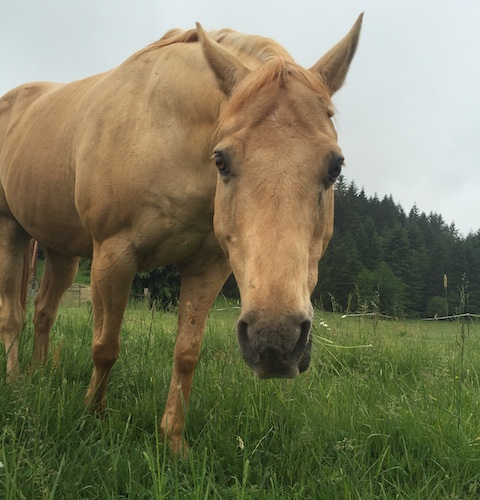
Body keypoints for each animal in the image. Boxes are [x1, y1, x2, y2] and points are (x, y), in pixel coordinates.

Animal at [0, 14, 360, 454]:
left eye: (335, 167)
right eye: (221, 161)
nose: (274, 340)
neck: (166, 133)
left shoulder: (208, 266)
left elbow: (186, 353)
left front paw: (172, 442)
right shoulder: (114, 255)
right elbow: (105, 345)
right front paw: (93, 416)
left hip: (61, 250)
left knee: (43, 311)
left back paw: (39, 374)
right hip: (11, 231)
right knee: (12, 316)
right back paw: (16, 381)